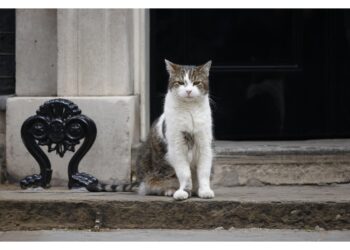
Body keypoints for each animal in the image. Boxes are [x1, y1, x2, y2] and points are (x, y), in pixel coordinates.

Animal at [87, 59, 213, 200]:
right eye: (181, 82)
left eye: (196, 83)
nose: (189, 91)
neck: (190, 110)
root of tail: (139, 181)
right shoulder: (177, 147)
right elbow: (184, 173)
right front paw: (183, 191)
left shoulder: (204, 145)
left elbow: (204, 172)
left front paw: (205, 191)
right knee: (153, 186)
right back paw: (170, 190)